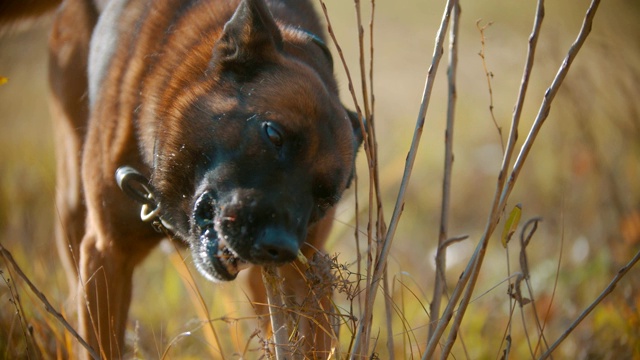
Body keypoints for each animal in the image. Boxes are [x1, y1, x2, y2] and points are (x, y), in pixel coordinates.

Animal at [15, 0, 362, 358]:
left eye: (326, 198)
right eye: (273, 134)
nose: (277, 246)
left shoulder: (306, 272)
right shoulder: (106, 252)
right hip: (73, 206)